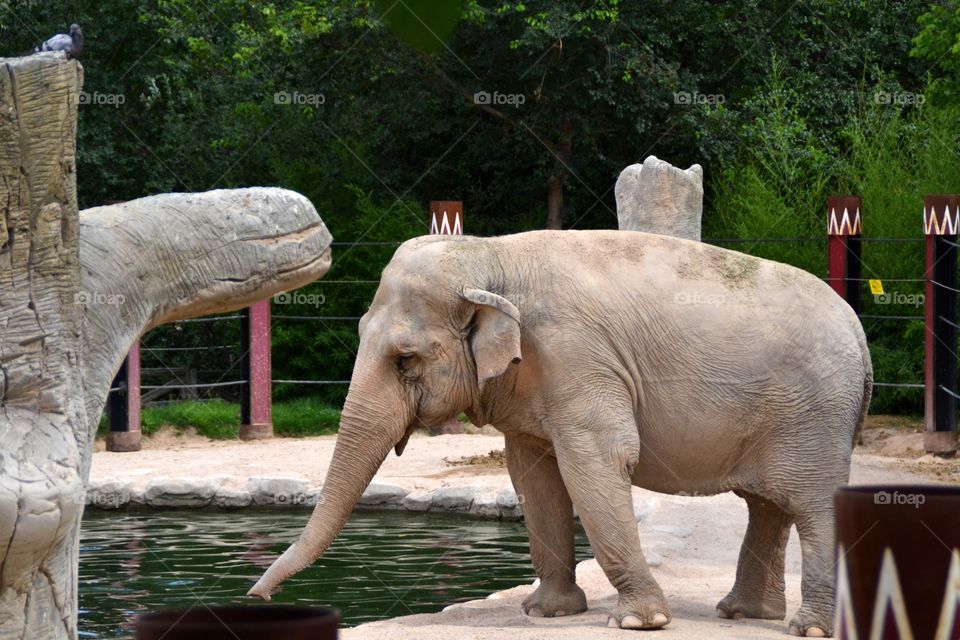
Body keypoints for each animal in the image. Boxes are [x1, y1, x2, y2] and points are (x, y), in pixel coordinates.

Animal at [249, 229, 872, 637]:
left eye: (405, 361)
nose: (256, 596)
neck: (492, 255)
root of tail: (860, 335)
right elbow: (533, 475)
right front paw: (546, 613)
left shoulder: (576, 358)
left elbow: (595, 462)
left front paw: (639, 622)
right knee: (767, 504)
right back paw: (742, 615)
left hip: (815, 414)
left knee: (810, 503)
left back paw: (808, 629)